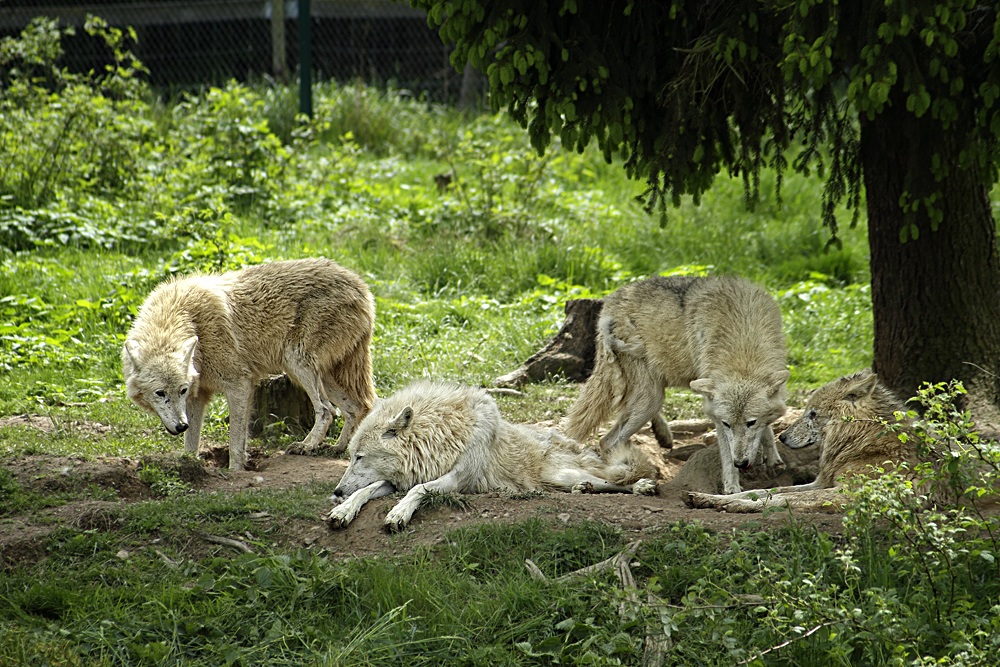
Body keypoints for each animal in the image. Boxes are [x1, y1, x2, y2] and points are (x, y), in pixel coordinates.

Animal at [122, 256, 376, 470]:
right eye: (160, 393)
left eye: (181, 390)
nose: (179, 426)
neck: (189, 321)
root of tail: (362, 288)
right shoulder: (199, 396)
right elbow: (192, 442)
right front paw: (189, 464)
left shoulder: (239, 384)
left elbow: (236, 438)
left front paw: (234, 470)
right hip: (319, 374)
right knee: (356, 408)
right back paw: (338, 449)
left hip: (297, 364)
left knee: (327, 410)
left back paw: (306, 446)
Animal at [324, 380, 660, 532]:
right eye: (350, 456)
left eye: (359, 457)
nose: (336, 491)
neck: (441, 436)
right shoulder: (398, 479)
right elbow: (367, 490)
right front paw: (343, 510)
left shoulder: (456, 479)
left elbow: (419, 490)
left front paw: (397, 514)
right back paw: (585, 489)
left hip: (562, 473)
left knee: (612, 479)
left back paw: (642, 486)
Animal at [688, 368, 916, 516]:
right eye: (807, 411)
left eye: (813, 414)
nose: (782, 437)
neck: (863, 442)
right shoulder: (820, 483)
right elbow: (762, 491)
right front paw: (708, 498)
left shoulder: (849, 495)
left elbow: (783, 498)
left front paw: (739, 505)